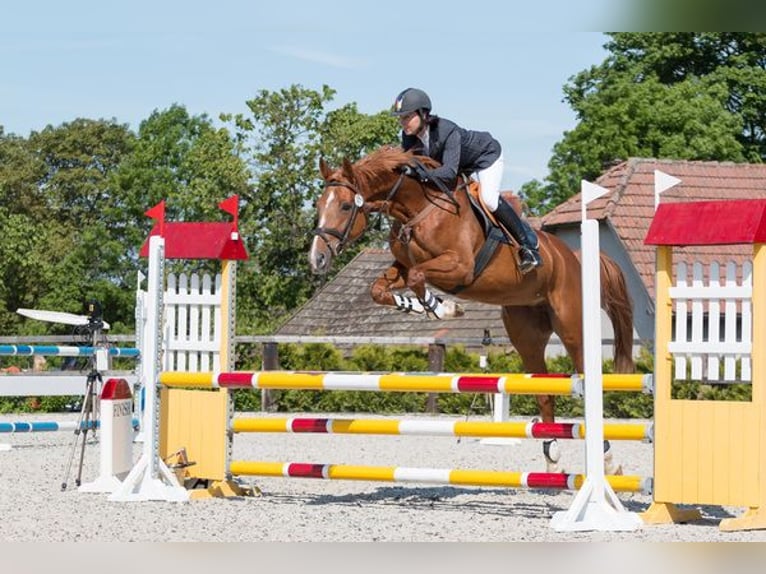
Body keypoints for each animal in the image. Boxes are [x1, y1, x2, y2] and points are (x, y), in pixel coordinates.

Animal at [309, 145, 634, 473]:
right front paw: (425, 307)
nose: (317, 259)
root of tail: (574, 257)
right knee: (544, 393)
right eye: (319, 205)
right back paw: (552, 459)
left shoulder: (459, 266)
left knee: (585, 379)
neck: (418, 210)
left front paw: (444, 308)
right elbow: (380, 289)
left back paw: (608, 462)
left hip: (571, 327)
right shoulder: (404, 265)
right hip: (526, 335)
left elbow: (417, 277)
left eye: (346, 206)